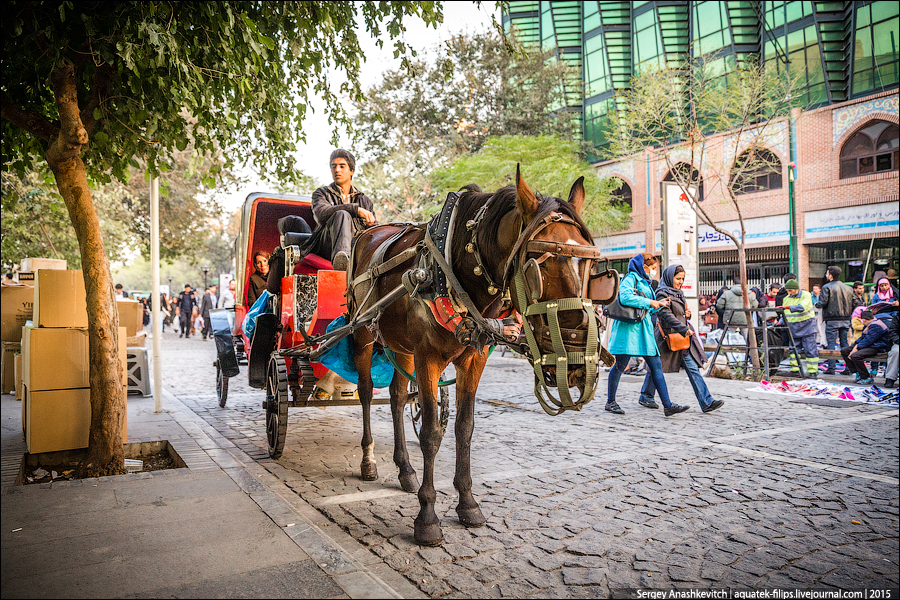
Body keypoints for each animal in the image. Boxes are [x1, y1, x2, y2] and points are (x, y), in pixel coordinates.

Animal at [344, 166, 604, 548]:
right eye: (536, 268)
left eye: (591, 266)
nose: (575, 364)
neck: (458, 269)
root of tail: (368, 233)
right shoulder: (428, 357)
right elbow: (431, 434)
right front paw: (427, 517)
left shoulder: (473, 359)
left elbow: (464, 428)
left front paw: (467, 502)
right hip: (363, 335)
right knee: (365, 394)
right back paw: (368, 461)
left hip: (402, 348)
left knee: (395, 399)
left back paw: (405, 469)